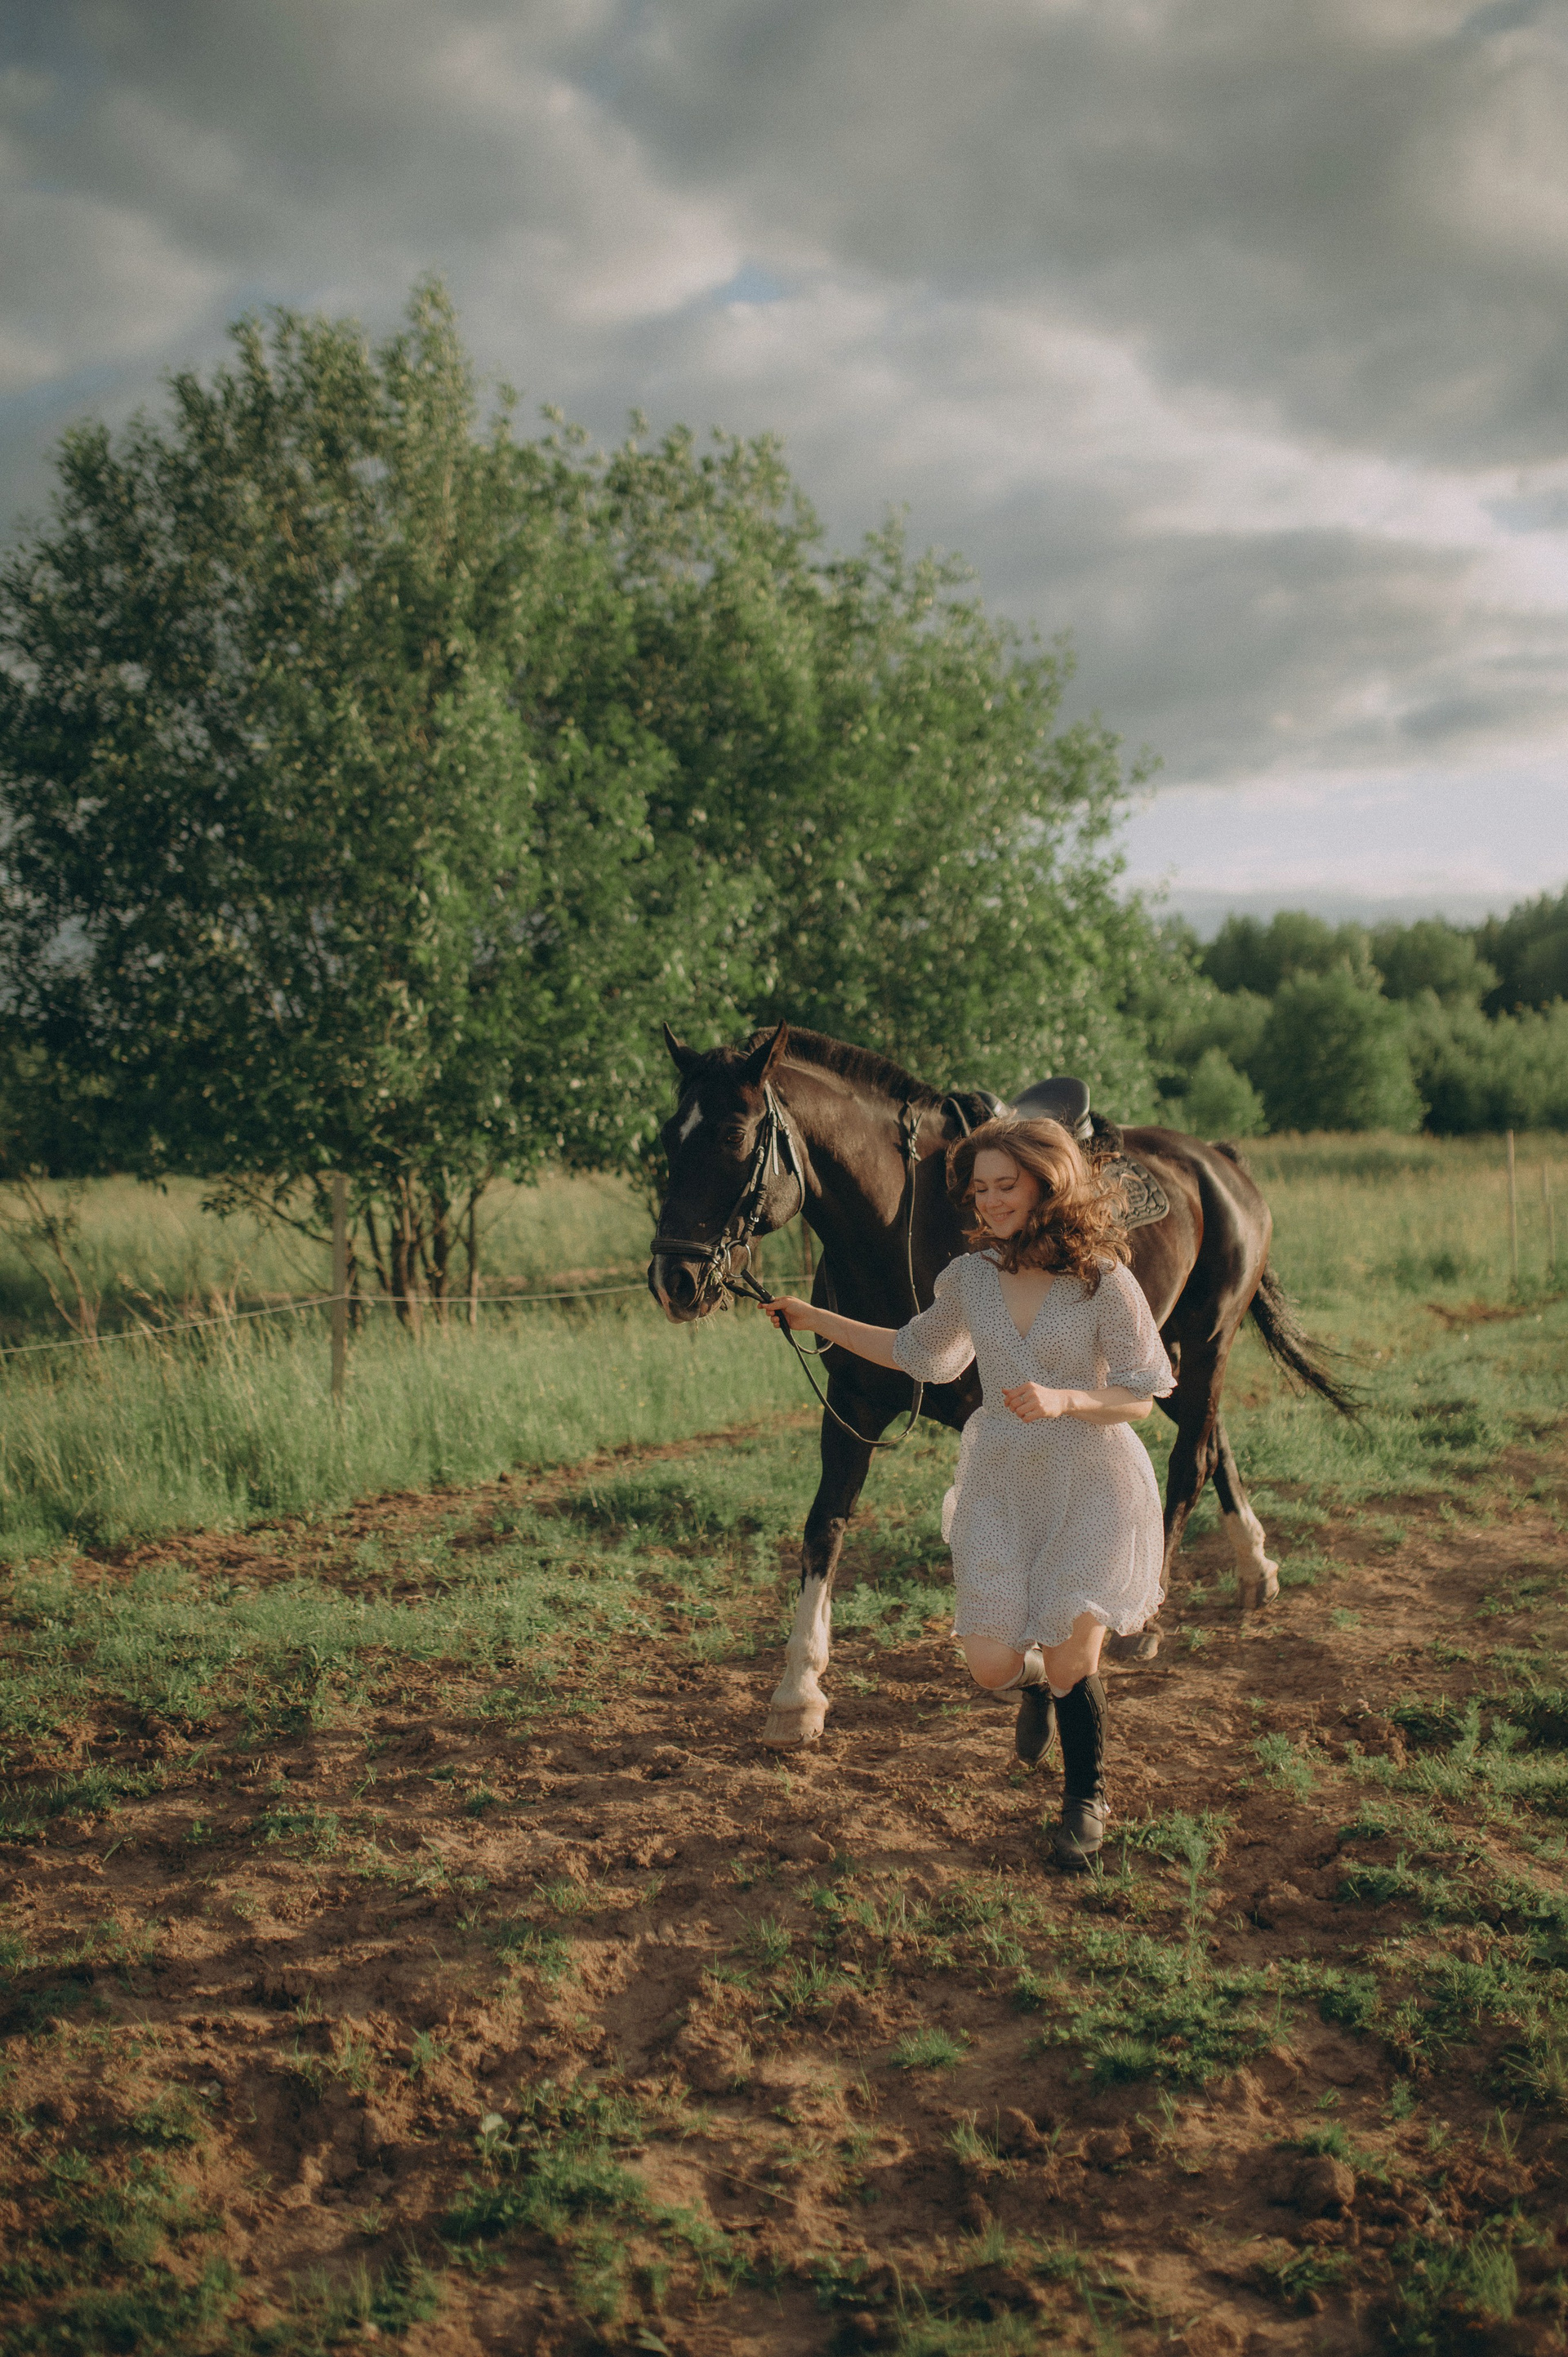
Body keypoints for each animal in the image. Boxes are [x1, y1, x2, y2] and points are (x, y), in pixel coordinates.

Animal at [648, 1020, 1356, 1747]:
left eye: (734, 1134)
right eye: (670, 1136)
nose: (674, 1280)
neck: (902, 1227)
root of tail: (1216, 1159)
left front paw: (1036, 1659)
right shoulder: (852, 1407)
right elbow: (826, 1528)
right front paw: (798, 1695)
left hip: (1211, 1337)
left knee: (1192, 1458)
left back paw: (1146, 1619)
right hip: (1166, 1351)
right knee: (1213, 1440)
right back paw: (1256, 1571)